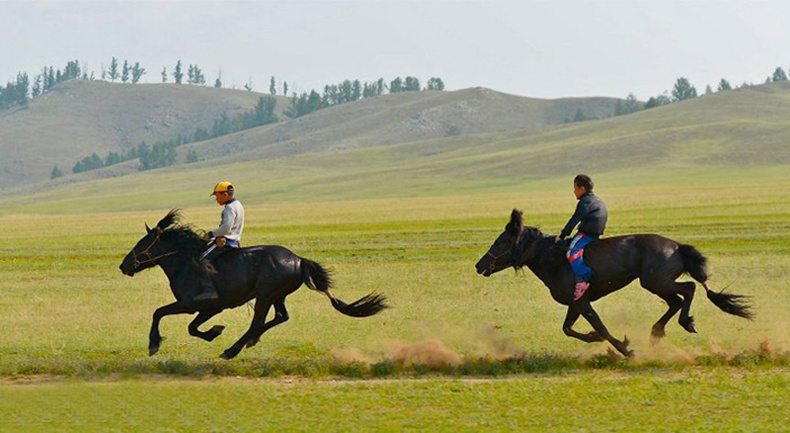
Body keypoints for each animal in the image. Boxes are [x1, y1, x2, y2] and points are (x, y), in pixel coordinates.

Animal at [119, 208, 388, 358]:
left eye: (142, 243)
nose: (124, 266)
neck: (184, 260)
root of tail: (299, 260)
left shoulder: (191, 304)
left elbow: (159, 313)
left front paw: (153, 345)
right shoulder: (210, 308)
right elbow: (192, 328)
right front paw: (215, 331)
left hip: (264, 296)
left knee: (258, 322)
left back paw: (232, 350)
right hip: (276, 296)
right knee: (281, 317)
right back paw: (250, 341)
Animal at [476, 208, 756, 356]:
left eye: (499, 242)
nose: (479, 265)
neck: (552, 258)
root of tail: (677, 246)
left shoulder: (582, 301)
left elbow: (599, 327)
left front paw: (625, 348)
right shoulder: (575, 304)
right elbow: (568, 329)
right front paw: (597, 339)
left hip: (656, 282)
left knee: (689, 289)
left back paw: (686, 323)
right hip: (656, 284)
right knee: (677, 301)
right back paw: (657, 332)